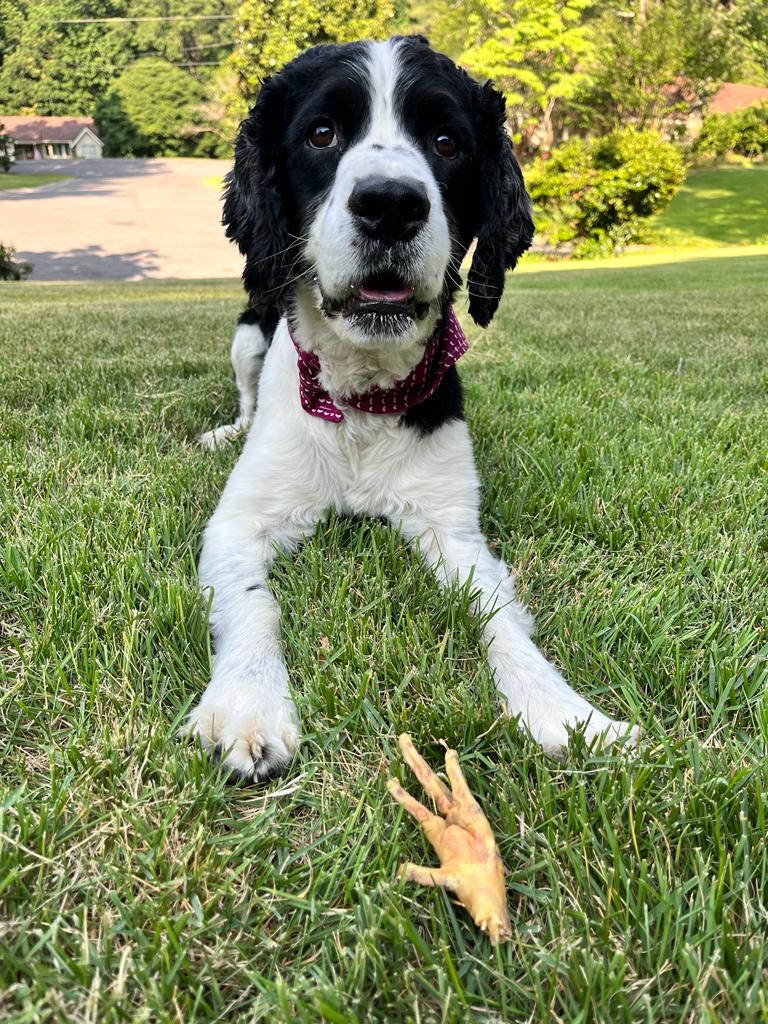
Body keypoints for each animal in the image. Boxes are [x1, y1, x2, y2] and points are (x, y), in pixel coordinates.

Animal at [188, 36, 638, 778]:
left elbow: (499, 619)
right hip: (247, 333)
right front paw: (249, 707)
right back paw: (226, 430)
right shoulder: (238, 524)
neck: (363, 399)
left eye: (446, 141)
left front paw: (566, 712)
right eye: (321, 133)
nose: (391, 204)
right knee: (246, 395)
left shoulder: (452, 529)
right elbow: (255, 607)